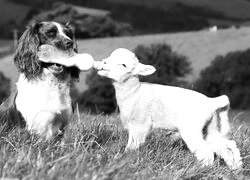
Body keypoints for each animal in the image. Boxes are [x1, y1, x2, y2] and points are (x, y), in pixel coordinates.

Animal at [95, 47, 242, 169]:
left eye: (124, 65)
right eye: (110, 56)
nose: (104, 63)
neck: (134, 93)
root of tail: (211, 102)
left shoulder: (140, 123)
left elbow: (134, 145)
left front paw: (127, 160)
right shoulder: (132, 124)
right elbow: (131, 143)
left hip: (191, 127)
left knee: (206, 151)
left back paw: (202, 169)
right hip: (210, 126)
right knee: (227, 146)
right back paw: (236, 168)